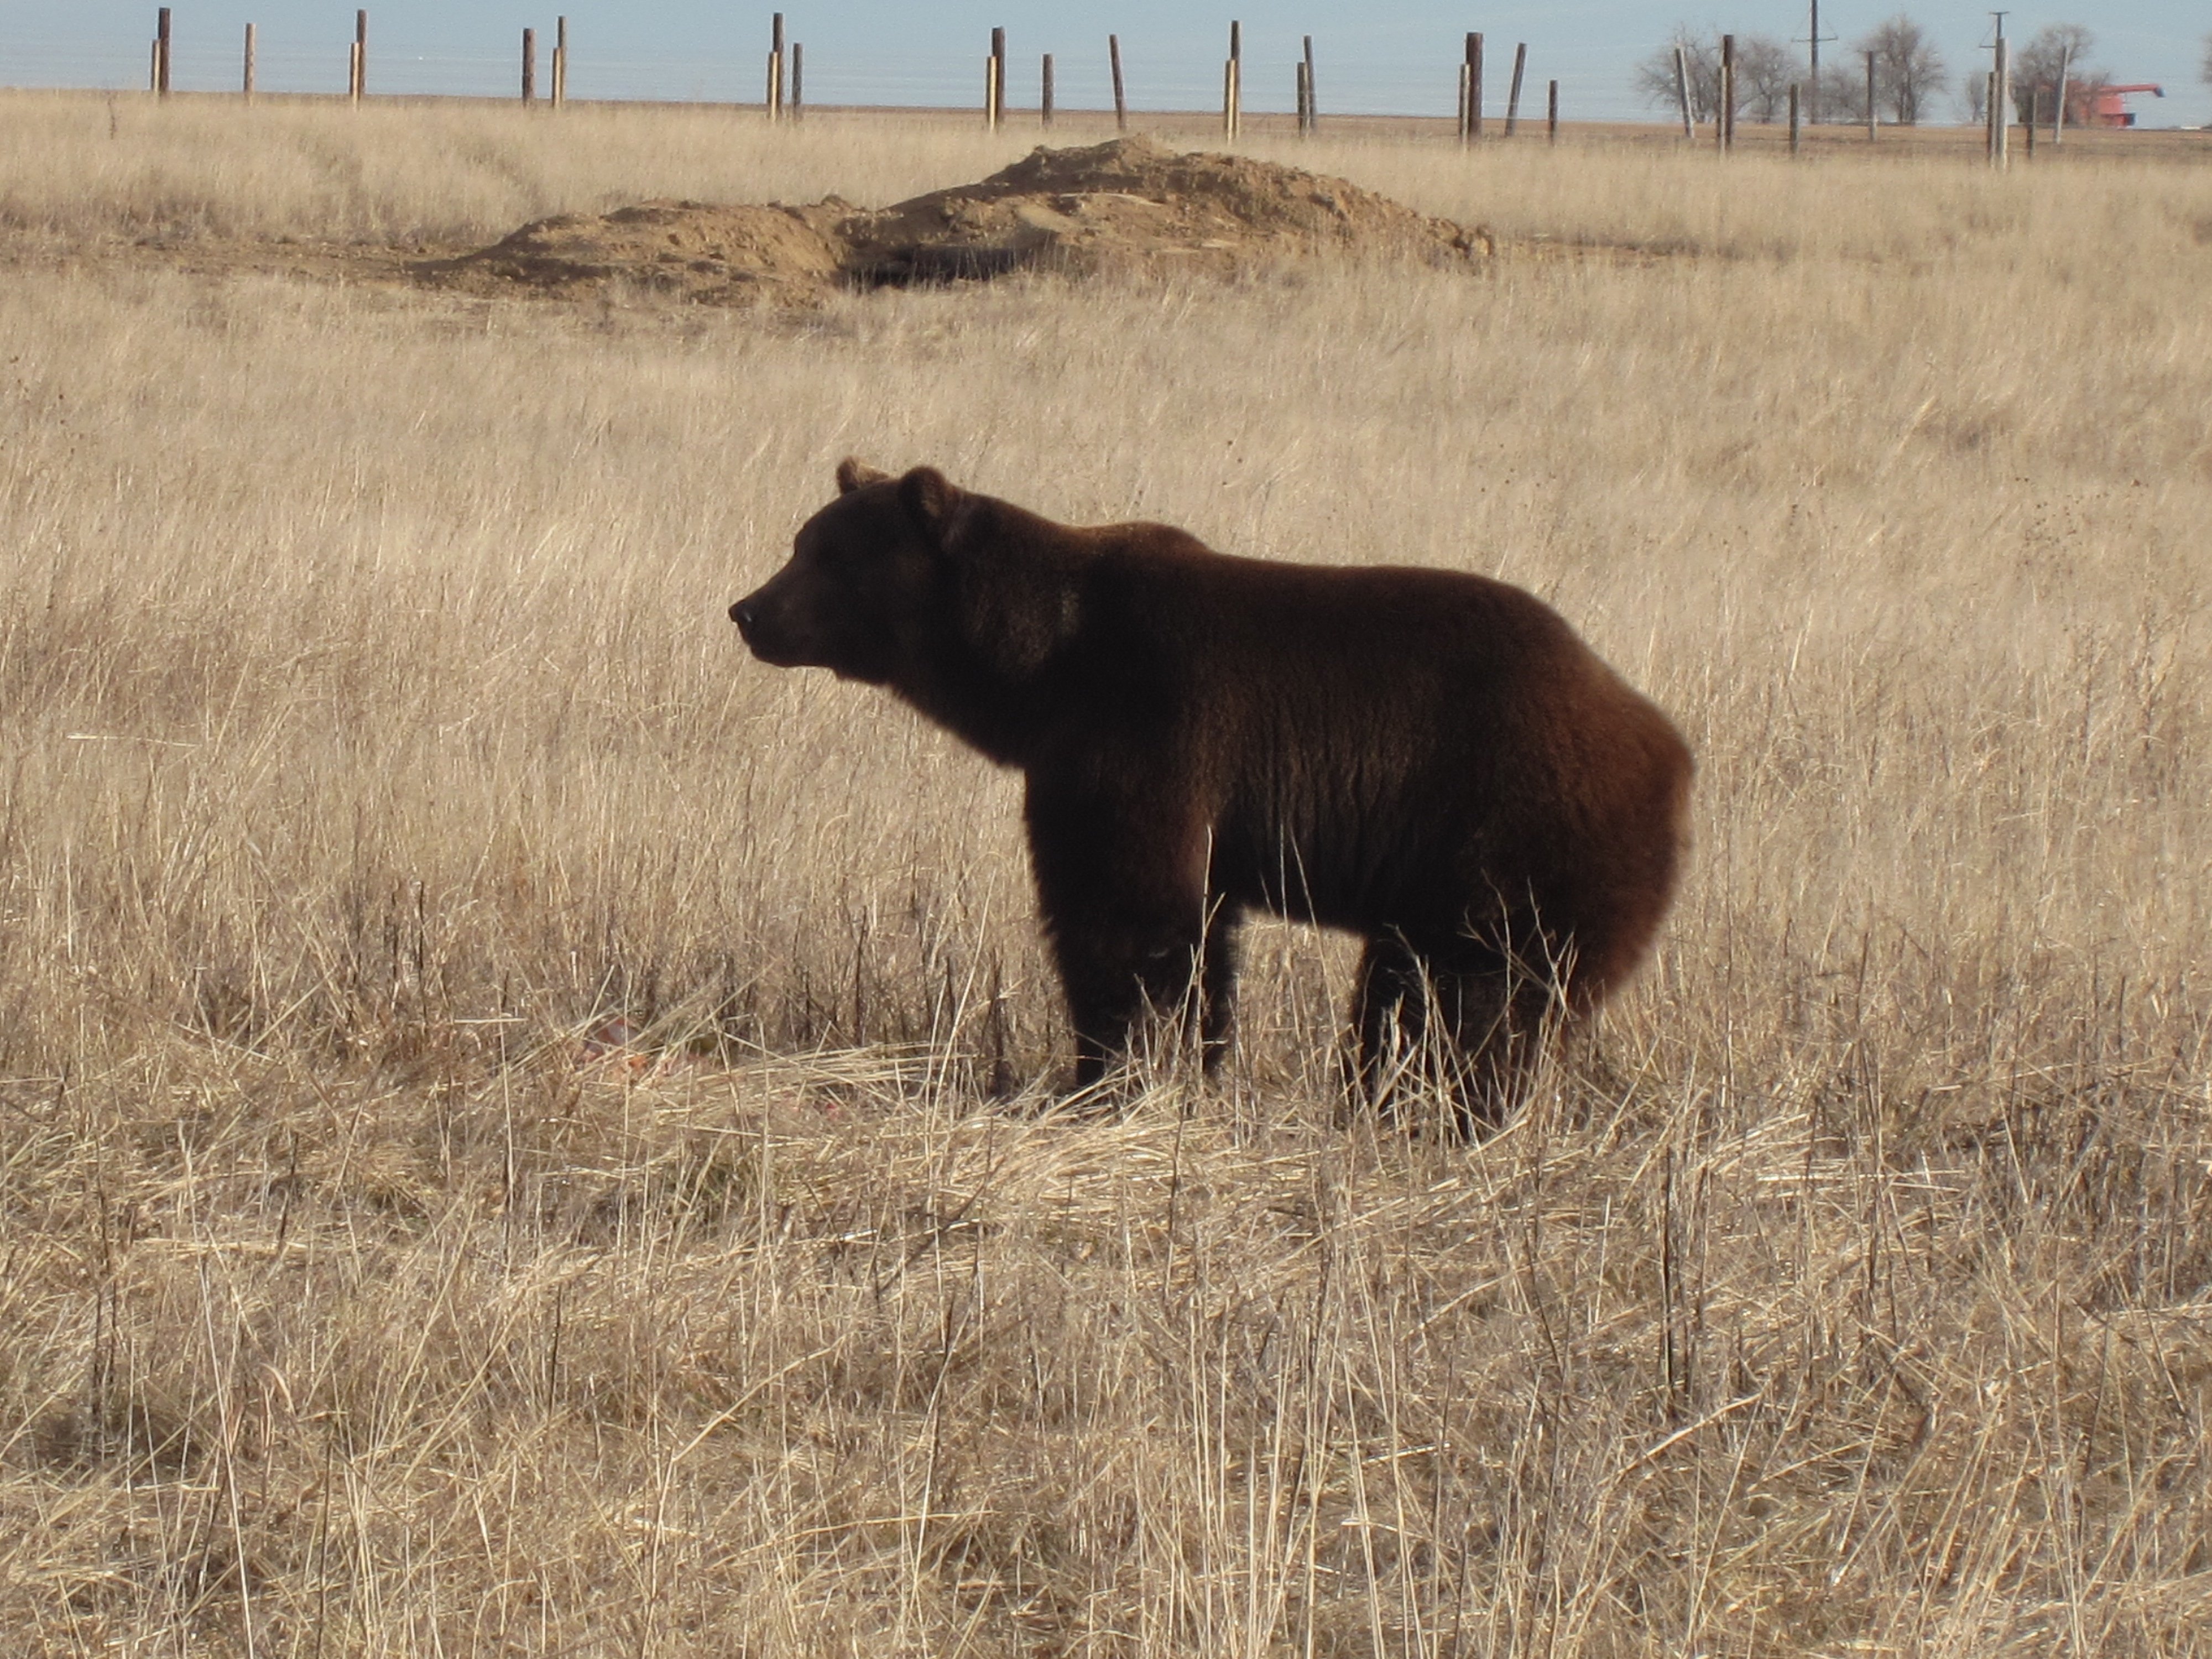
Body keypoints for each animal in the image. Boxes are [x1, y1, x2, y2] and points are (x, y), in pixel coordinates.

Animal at [730, 462, 1690, 1141]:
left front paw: (1113, 1069)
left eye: (826, 557)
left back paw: (1448, 1110)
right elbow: (1199, 927)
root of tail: (1667, 746)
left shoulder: (1151, 727)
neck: (1042, 667)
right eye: (801, 541)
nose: (747, 610)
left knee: (1481, 993)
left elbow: (1125, 909)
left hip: (1518, 830)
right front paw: (1189, 1063)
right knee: (1407, 986)